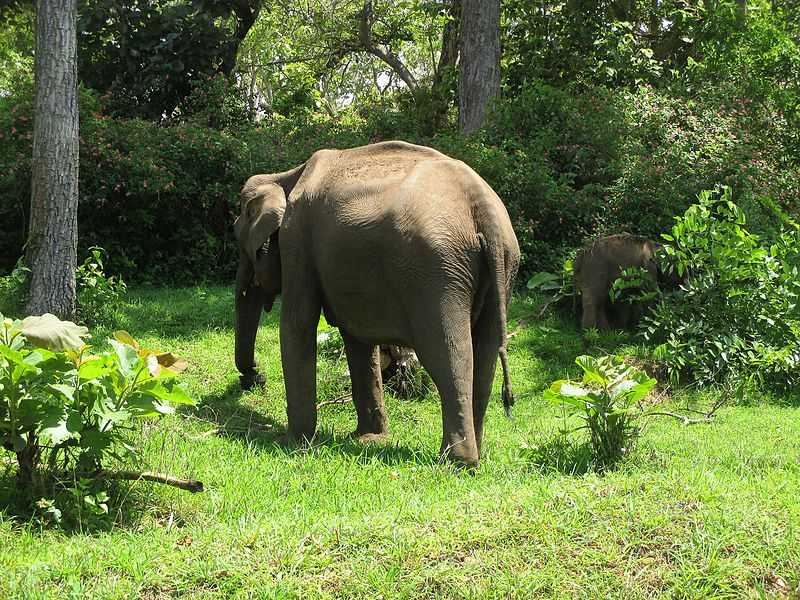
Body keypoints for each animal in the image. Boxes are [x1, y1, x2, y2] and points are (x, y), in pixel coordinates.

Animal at [233, 139, 520, 464]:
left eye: (241, 245)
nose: (255, 377)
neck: (285, 176)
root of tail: (484, 207)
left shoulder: (297, 241)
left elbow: (298, 323)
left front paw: (291, 442)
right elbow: (358, 340)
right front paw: (368, 438)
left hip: (437, 273)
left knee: (448, 353)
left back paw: (457, 462)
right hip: (502, 267)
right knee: (485, 355)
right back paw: (475, 455)